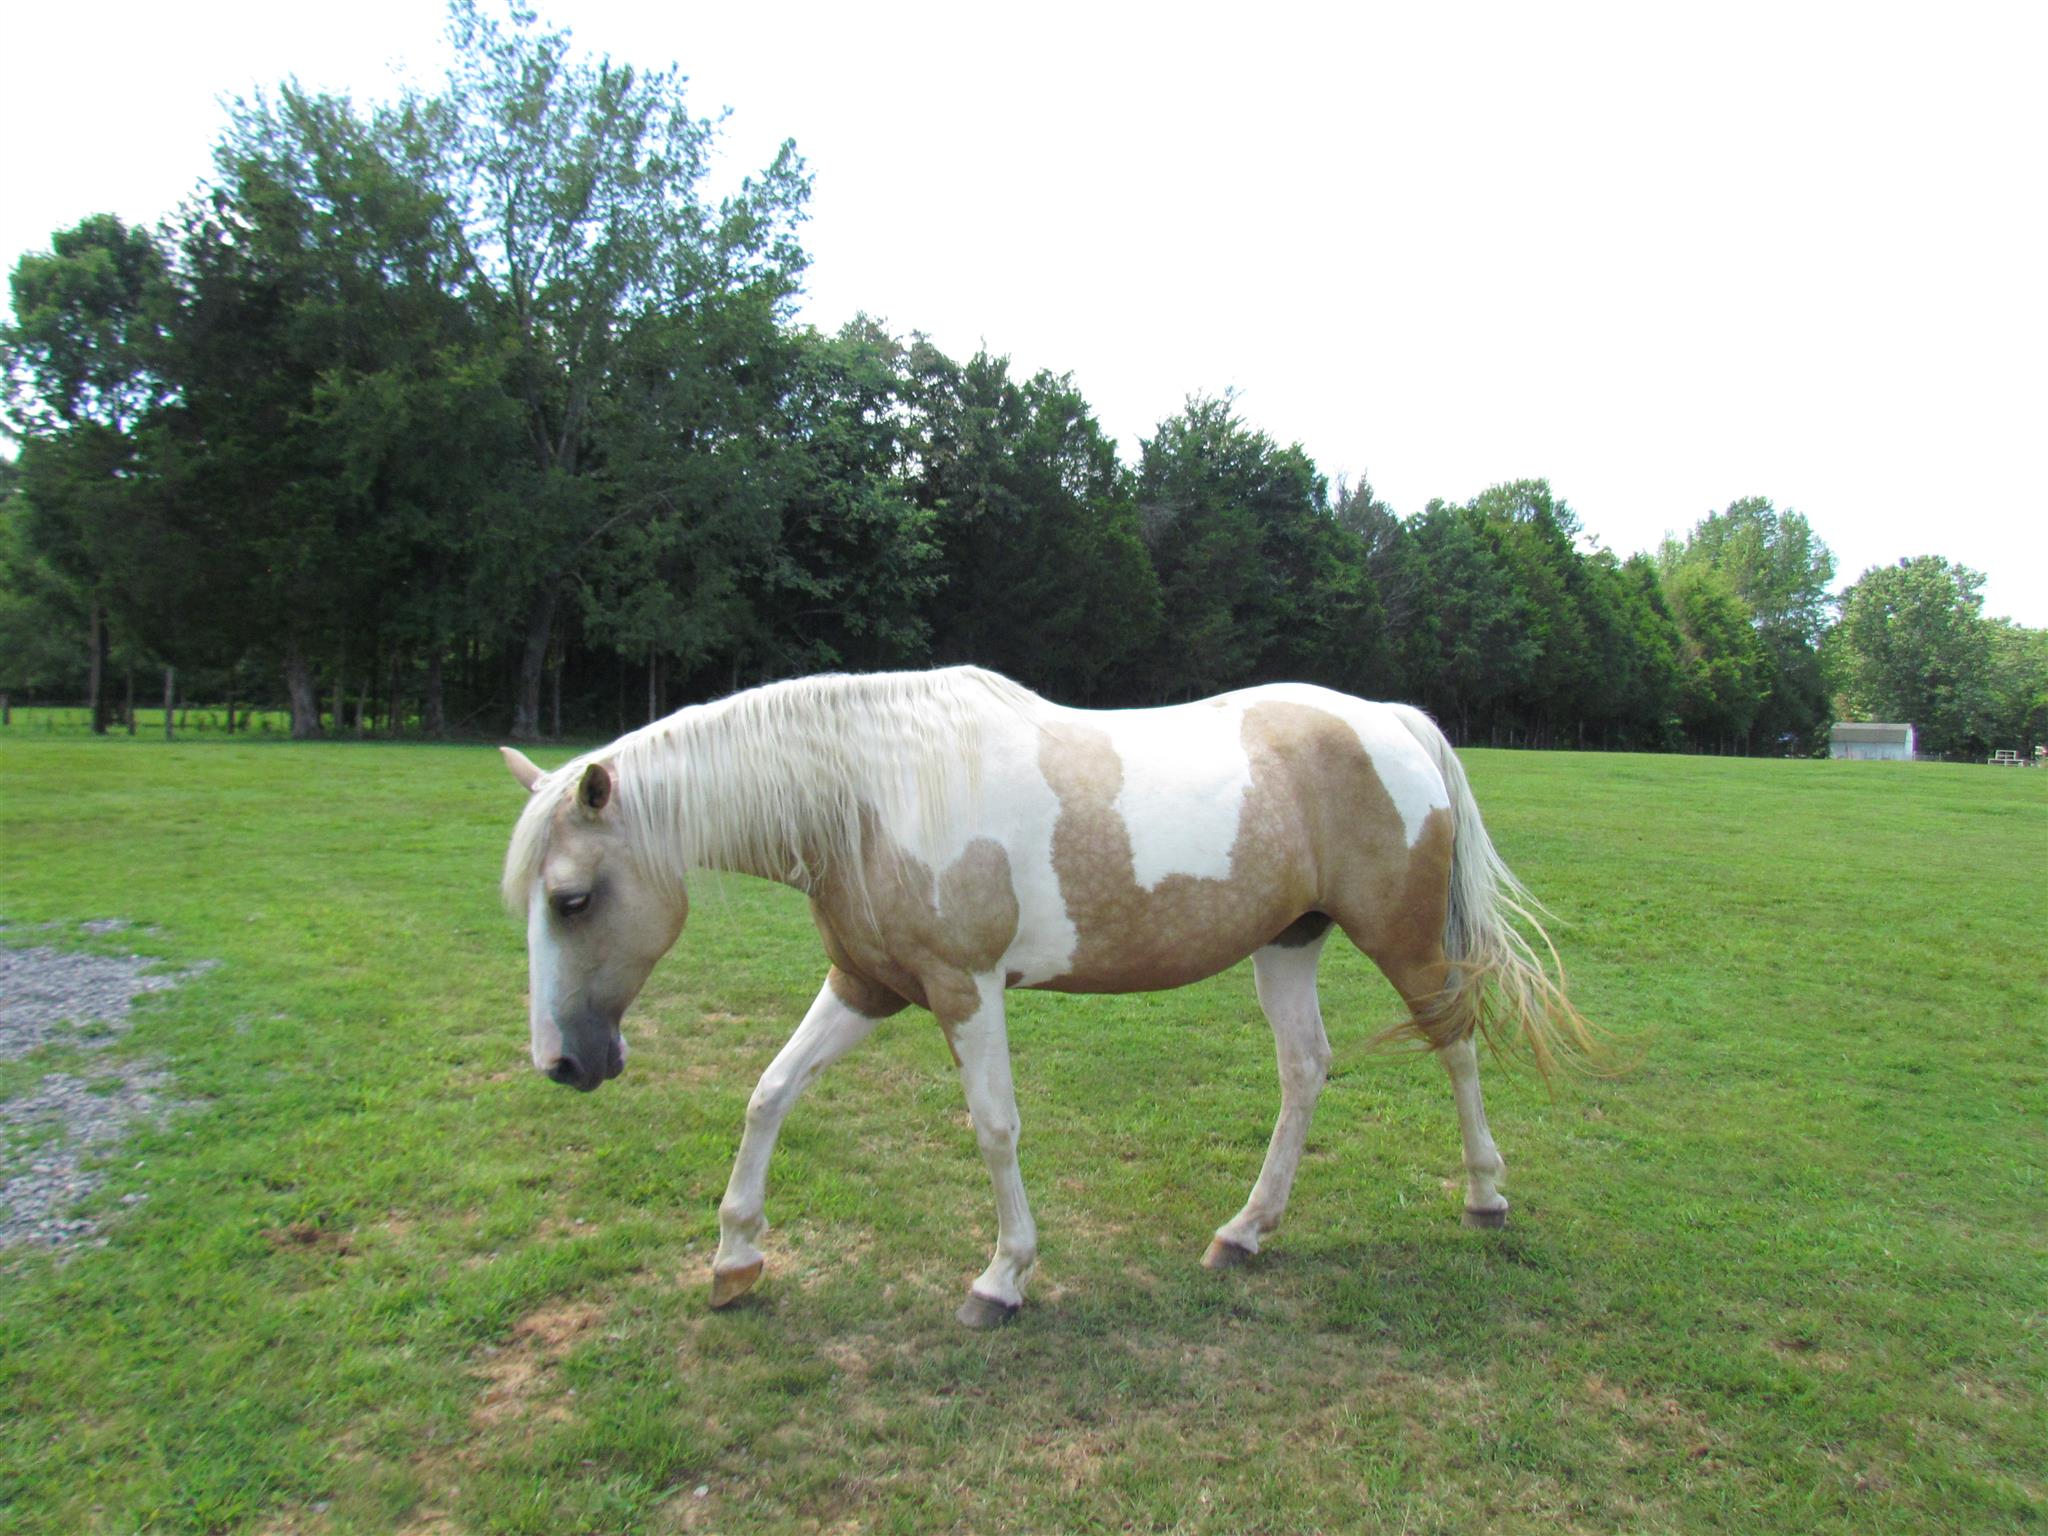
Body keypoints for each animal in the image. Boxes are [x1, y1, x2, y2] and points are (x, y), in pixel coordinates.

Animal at [499, 665, 1590, 1327]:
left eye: (574, 898)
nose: (563, 1062)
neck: (875, 795)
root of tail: (1390, 722)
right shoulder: (866, 985)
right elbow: (770, 1092)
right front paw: (734, 1259)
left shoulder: (963, 988)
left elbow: (993, 1129)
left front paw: (1002, 1278)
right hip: (1287, 944)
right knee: (1305, 1070)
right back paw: (1245, 1231)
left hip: (1403, 942)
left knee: (1455, 1044)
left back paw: (1484, 1196)